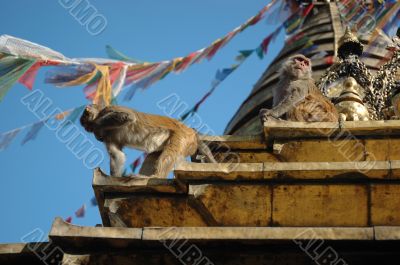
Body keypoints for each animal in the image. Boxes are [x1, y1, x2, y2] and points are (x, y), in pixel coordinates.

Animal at [80, 103, 216, 177]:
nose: (88, 130)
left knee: (170, 152)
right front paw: (114, 179)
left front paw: (97, 125)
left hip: (183, 137)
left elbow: (128, 116)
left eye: (86, 125)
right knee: (154, 155)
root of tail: (190, 131)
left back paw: (155, 176)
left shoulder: (109, 109)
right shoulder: (107, 138)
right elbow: (117, 155)